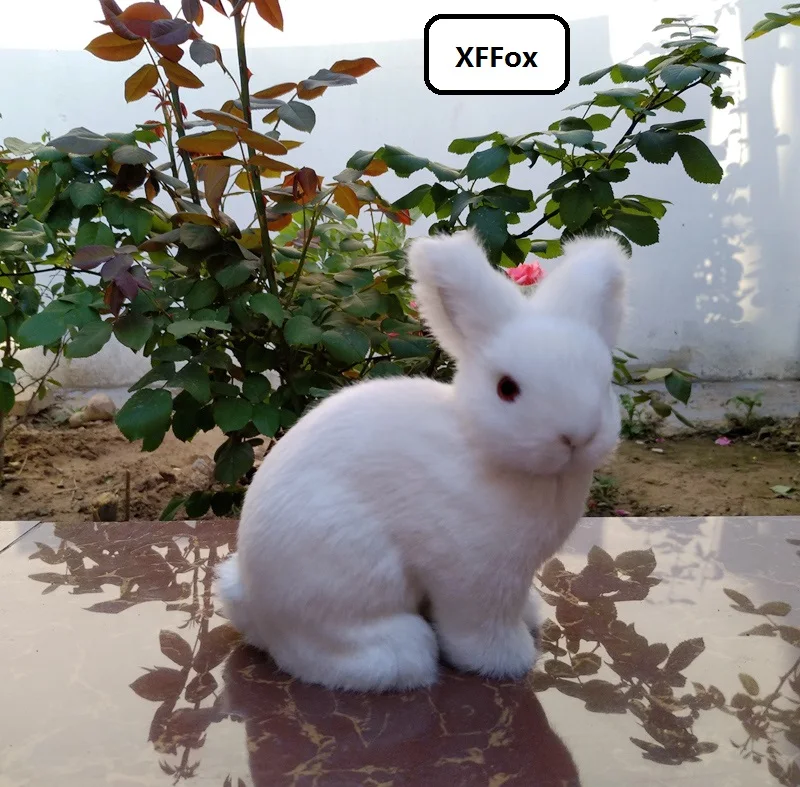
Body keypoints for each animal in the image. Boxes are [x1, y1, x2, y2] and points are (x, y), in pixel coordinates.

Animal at [215, 228, 628, 693]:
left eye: (605, 381)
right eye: (506, 388)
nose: (577, 435)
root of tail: (250, 595)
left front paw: (531, 616)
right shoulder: (476, 574)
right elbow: (477, 626)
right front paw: (507, 659)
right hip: (349, 573)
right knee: (308, 646)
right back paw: (402, 658)